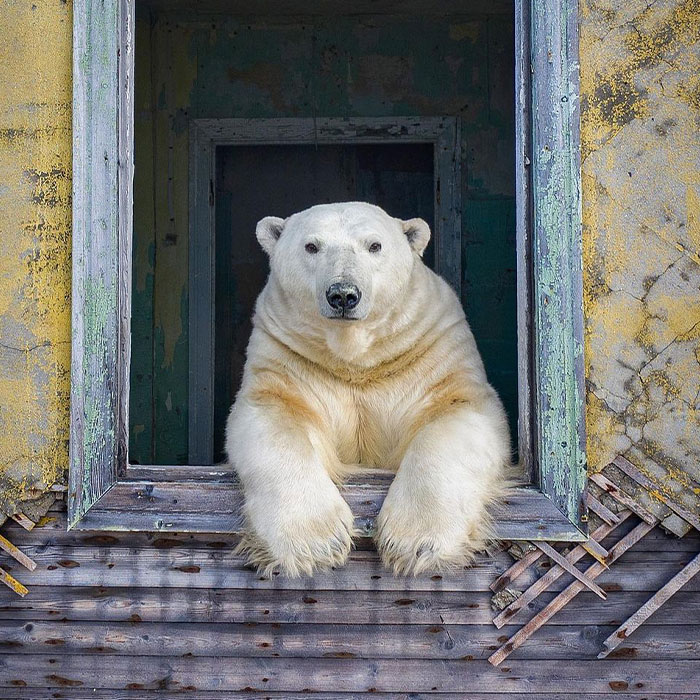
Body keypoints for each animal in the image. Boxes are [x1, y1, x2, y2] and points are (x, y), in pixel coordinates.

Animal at [225, 202, 511, 576]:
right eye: (311, 246)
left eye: (374, 245)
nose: (343, 294)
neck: (357, 360)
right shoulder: (288, 357)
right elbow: (274, 417)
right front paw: (316, 543)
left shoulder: (431, 350)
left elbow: (457, 413)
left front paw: (415, 543)